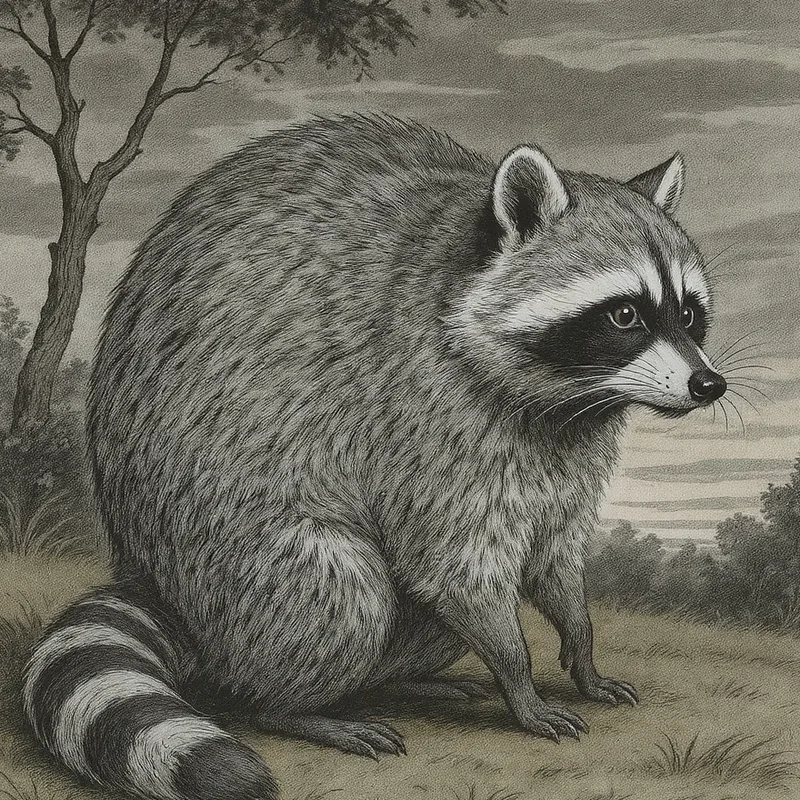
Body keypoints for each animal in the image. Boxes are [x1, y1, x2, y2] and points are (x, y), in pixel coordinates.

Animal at [24, 115, 726, 800]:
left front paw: (581, 649)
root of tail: (156, 583)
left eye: (690, 313)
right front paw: (520, 679)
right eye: (626, 314)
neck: (567, 400)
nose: (709, 384)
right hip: (231, 547)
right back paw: (295, 708)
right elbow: (452, 567)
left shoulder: (567, 455)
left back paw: (399, 681)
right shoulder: (423, 413)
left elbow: (553, 557)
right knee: (343, 590)